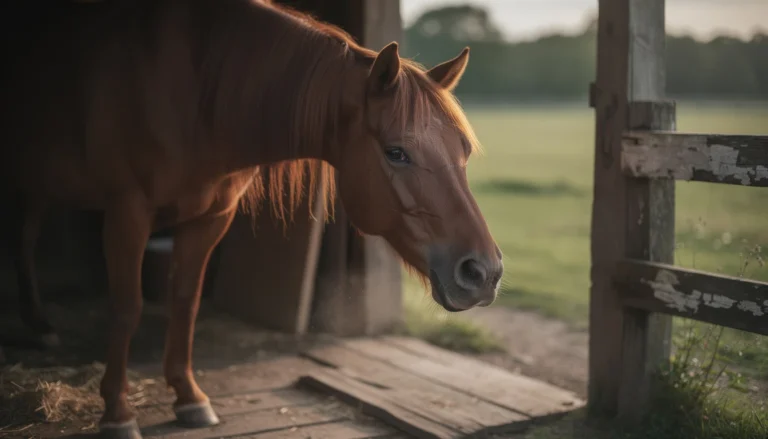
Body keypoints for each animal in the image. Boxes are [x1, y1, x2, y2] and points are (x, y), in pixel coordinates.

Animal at [0, 0, 503, 437]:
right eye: (396, 152)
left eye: (462, 151)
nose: (483, 272)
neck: (191, 89)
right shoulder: (128, 212)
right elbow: (127, 308)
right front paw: (118, 412)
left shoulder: (210, 219)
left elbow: (186, 300)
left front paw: (189, 398)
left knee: (23, 240)